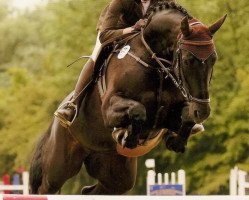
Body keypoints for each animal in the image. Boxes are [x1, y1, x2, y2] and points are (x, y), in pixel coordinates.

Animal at [29, 1, 226, 195]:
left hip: (116, 173)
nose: (202, 111)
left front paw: (176, 142)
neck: (155, 63)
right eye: (187, 60)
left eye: (213, 59)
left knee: (95, 190)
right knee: (46, 187)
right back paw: (68, 112)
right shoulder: (109, 108)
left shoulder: (168, 116)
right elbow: (138, 110)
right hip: (59, 166)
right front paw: (127, 136)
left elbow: (186, 117)